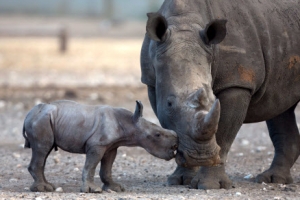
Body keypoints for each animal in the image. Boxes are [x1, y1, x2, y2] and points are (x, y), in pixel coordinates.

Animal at [23, 101, 178, 193]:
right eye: (157, 135)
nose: (176, 142)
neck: (129, 122)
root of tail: (28, 115)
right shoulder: (97, 144)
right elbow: (90, 166)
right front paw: (93, 190)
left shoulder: (111, 146)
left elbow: (107, 168)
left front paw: (115, 188)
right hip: (41, 121)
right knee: (42, 149)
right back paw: (43, 189)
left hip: (43, 119)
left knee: (44, 151)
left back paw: (47, 187)